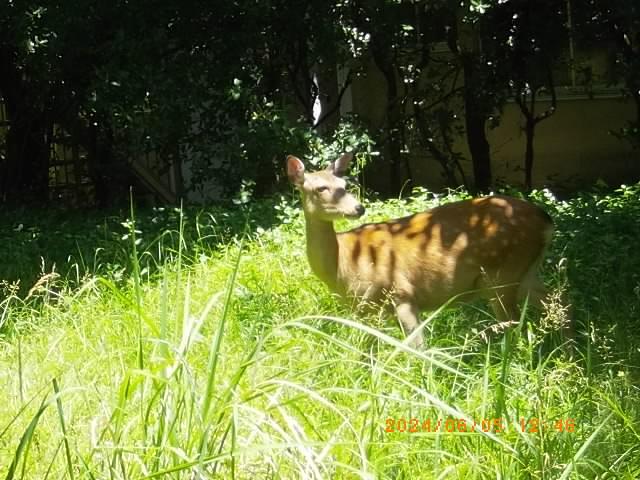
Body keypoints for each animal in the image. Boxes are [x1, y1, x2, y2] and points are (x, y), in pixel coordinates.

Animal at [286, 152, 554, 348]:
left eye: (344, 184)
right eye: (321, 188)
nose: (358, 208)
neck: (341, 265)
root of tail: (546, 221)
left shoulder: (400, 292)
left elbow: (417, 347)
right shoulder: (365, 310)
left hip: (502, 274)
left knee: (513, 322)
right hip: (525, 272)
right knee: (555, 302)